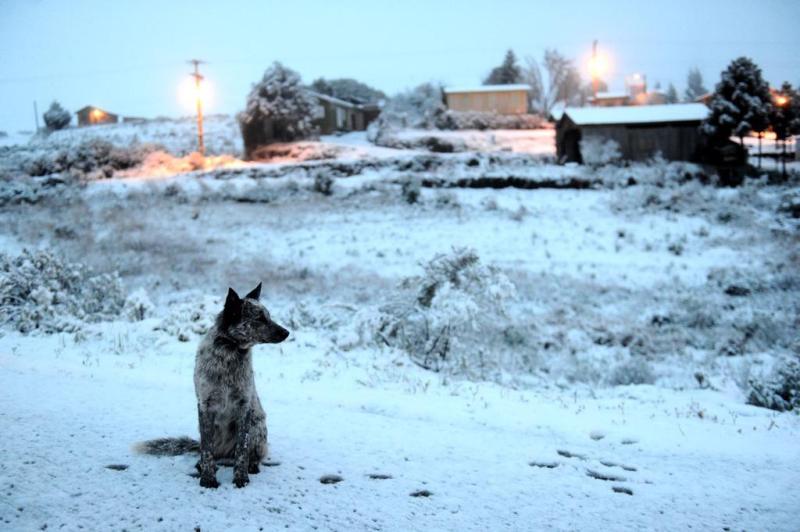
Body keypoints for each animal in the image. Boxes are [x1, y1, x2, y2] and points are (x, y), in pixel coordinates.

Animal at [133, 282, 290, 490]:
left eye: (268, 316)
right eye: (259, 318)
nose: (287, 332)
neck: (230, 352)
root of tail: (225, 452)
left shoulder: (244, 406)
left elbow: (242, 450)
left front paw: (241, 478)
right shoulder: (205, 406)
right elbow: (207, 451)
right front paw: (208, 479)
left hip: (257, 426)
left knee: (253, 454)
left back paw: (252, 465)